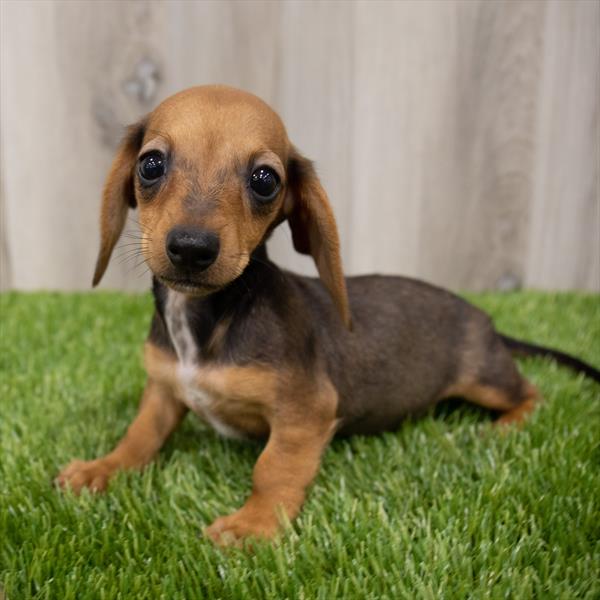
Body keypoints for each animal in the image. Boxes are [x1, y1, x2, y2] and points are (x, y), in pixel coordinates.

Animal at [55, 85, 596, 548]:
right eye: (150, 164)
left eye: (265, 180)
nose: (191, 248)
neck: (208, 319)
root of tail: (485, 318)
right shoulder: (164, 390)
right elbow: (140, 435)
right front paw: (102, 468)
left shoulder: (306, 412)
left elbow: (273, 468)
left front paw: (253, 524)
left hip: (484, 379)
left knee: (532, 393)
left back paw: (505, 427)